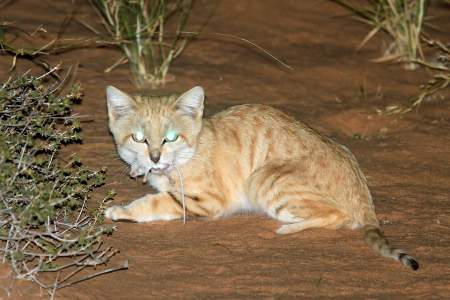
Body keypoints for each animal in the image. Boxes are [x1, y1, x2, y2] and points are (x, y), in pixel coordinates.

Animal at [104, 85, 418, 270]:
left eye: (171, 137)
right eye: (139, 138)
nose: (155, 158)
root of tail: (362, 189)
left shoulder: (205, 200)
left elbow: (153, 202)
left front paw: (118, 211)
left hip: (262, 179)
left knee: (341, 216)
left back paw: (287, 228)